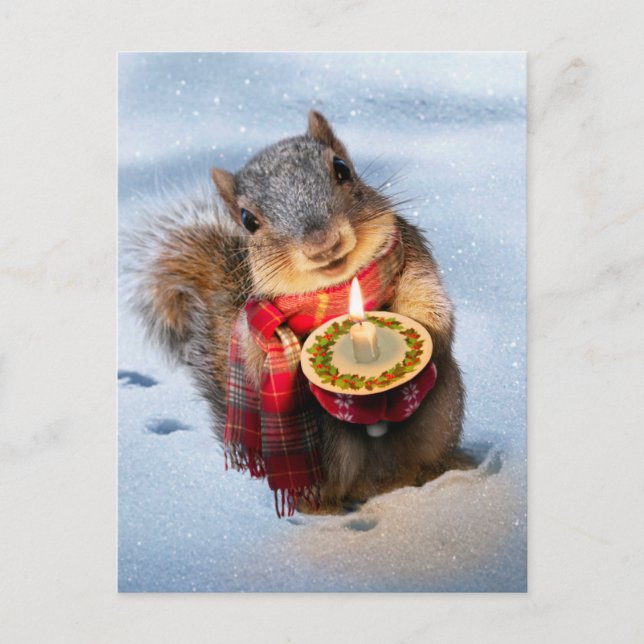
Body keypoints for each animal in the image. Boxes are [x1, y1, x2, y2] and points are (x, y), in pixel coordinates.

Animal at [128, 111, 468, 512]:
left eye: (342, 169)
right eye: (248, 219)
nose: (322, 244)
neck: (339, 290)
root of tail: (377, 478)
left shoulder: (413, 257)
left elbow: (430, 307)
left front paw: (419, 337)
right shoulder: (255, 326)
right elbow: (262, 367)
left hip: (442, 407)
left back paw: (439, 470)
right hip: (322, 447)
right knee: (328, 489)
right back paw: (326, 506)